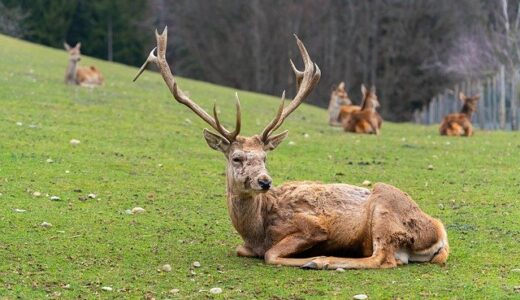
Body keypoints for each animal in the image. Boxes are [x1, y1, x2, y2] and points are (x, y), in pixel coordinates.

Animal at [133, 27, 446, 270]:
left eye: (265, 157)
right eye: (237, 158)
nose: (264, 181)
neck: (256, 230)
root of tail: (439, 233)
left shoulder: (313, 226)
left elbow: (271, 254)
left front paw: (308, 257)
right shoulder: (247, 244)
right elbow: (242, 249)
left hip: (385, 210)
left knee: (383, 259)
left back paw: (321, 261)